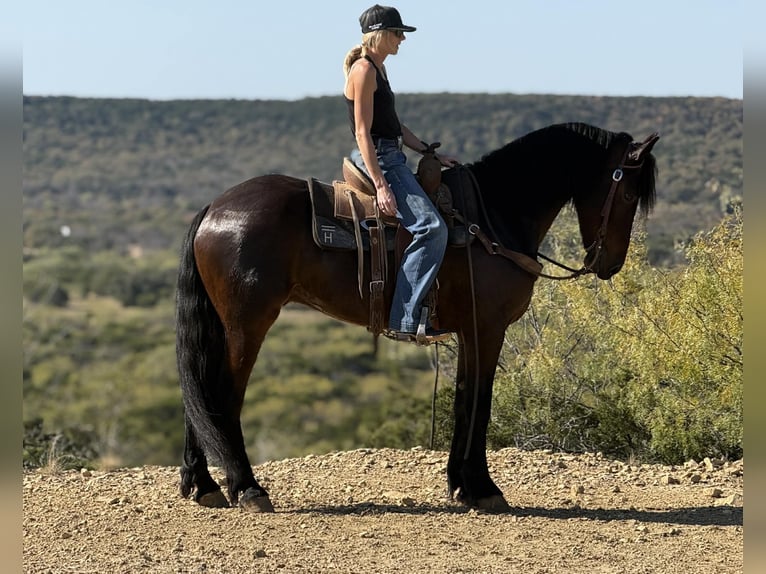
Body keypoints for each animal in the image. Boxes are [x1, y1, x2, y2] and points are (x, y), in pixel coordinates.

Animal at [176, 122, 659, 512]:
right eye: (628, 192)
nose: (609, 264)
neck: (491, 215)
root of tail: (213, 208)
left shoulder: (469, 332)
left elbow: (464, 399)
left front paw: (461, 486)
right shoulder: (488, 329)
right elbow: (480, 402)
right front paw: (484, 489)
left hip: (223, 325)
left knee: (200, 390)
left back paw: (203, 486)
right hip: (247, 324)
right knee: (221, 394)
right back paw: (248, 488)